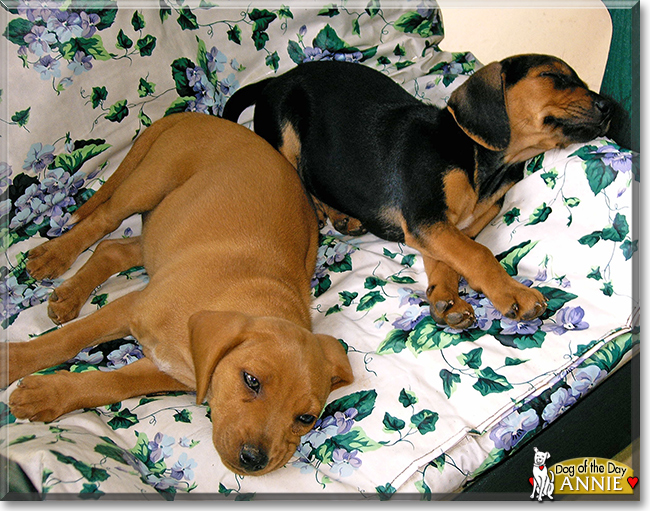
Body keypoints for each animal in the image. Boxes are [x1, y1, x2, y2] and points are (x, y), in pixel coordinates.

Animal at [0, 114, 352, 478]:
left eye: (306, 418)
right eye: (251, 380)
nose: (254, 460)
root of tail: (203, 117)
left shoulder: (168, 369)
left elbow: (112, 384)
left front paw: (48, 395)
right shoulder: (131, 306)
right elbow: (67, 340)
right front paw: (13, 363)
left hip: (164, 230)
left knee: (114, 249)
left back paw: (70, 295)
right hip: (149, 183)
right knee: (103, 221)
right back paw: (54, 257)